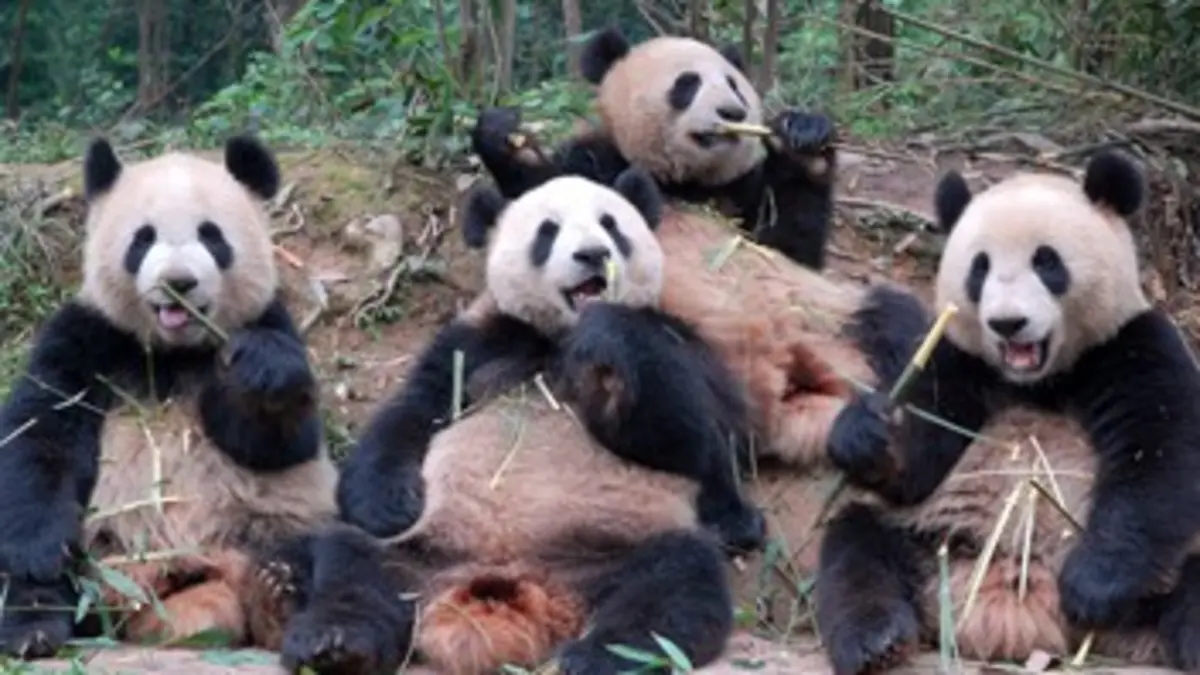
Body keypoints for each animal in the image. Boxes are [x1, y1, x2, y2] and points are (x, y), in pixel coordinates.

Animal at [0, 136, 337, 657]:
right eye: (143, 239)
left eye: (212, 237)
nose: (178, 282)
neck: (172, 351)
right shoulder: (90, 335)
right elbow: (43, 429)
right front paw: (41, 552)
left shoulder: (267, 322)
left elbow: (278, 445)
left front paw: (263, 369)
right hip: (101, 551)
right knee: (35, 579)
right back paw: (33, 630)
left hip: (273, 522)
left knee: (328, 556)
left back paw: (286, 604)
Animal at [264, 168, 767, 675]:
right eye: (548, 231)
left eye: (611, 225)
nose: (594, 254)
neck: (557, 336)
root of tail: (521, 583)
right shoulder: (478, 341)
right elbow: (412, 413)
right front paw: (389, 502)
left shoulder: (678, 341)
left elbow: (686, 439)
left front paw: (608, 329)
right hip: (422, 551)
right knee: (356, 563)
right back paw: (335, 642)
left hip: (613, 547)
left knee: (674, 581)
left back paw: (602, 655)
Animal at [471, 25, 839, 270]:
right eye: (688, 83)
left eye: (735, 86)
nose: (734, 112)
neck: (682, 180)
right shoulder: (595, 158)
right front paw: (507, 138)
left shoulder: (737, 190)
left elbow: (787, 247)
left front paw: (803, 143)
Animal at [818, 149, 1200, 674]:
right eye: (979, 269)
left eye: (1047, 261)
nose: (1007, 323)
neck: (1037, 380)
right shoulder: (959, 360)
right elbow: (923, 455)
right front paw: (868, 431)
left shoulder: (1131, 347)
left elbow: (1161, 457)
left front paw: (1093, 585)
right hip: (929, 539)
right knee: (857, 544)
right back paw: (877, 640)